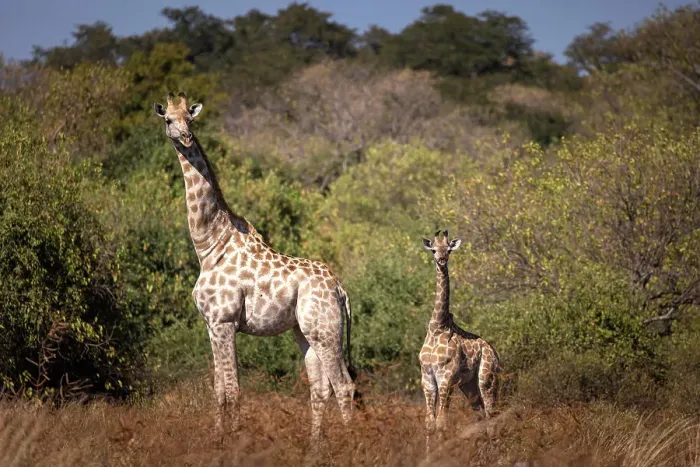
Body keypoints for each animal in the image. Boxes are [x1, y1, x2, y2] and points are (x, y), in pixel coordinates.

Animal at [153, 92, 355, 445]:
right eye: (168, 120)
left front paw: (233, 441)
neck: (209, 246)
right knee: (321, 389)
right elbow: (218, 389)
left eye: (190, 118)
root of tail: (340, 290)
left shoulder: (224, 321)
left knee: (343, 385)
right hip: (305, 332)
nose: (186, 137)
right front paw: (217, 439)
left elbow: (233, 389)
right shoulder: (211, 325)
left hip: (326, 331)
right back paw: (315, 447)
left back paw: (349, 445)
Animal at [419, 230, 500, 450]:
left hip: (486, 379)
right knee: (480, 415)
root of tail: (495, 354)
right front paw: (427, 453)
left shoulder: (446, 378)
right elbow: (429, 423)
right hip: (468, 385)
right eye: (434, 250)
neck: (437, 327)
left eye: (448, 250)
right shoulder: (427, 378)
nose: (441, 259)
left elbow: (441, 422)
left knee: (491, 413)